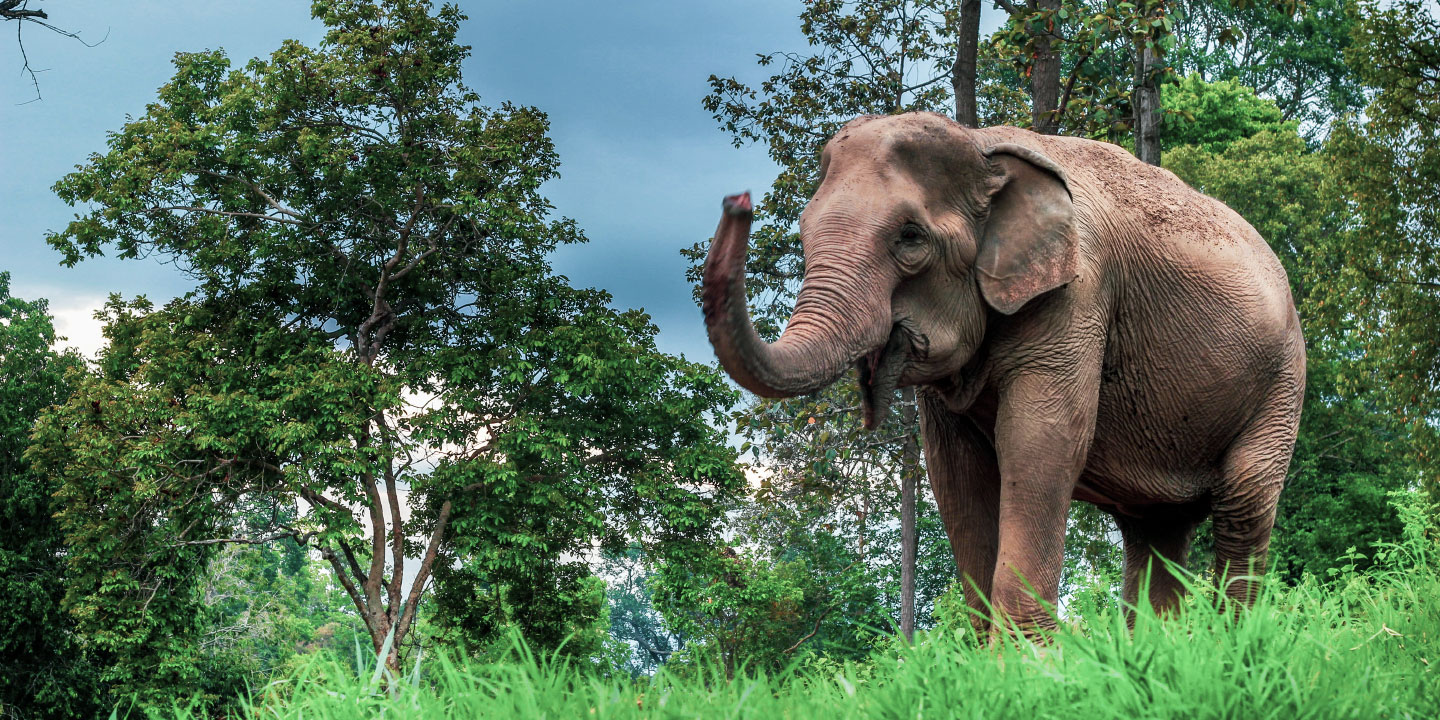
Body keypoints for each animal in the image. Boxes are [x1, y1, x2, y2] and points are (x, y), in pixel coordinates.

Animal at [700, 112, 1305, 634]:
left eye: (910, 237)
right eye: (803, 231)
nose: (736, 200)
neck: (982, 144)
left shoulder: (1078, 294)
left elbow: (1041, 441)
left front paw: (1026, 661)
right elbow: (954, 469)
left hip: (1283, 382)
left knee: (1244, 499)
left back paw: (1231, 647)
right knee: (1156, 529)